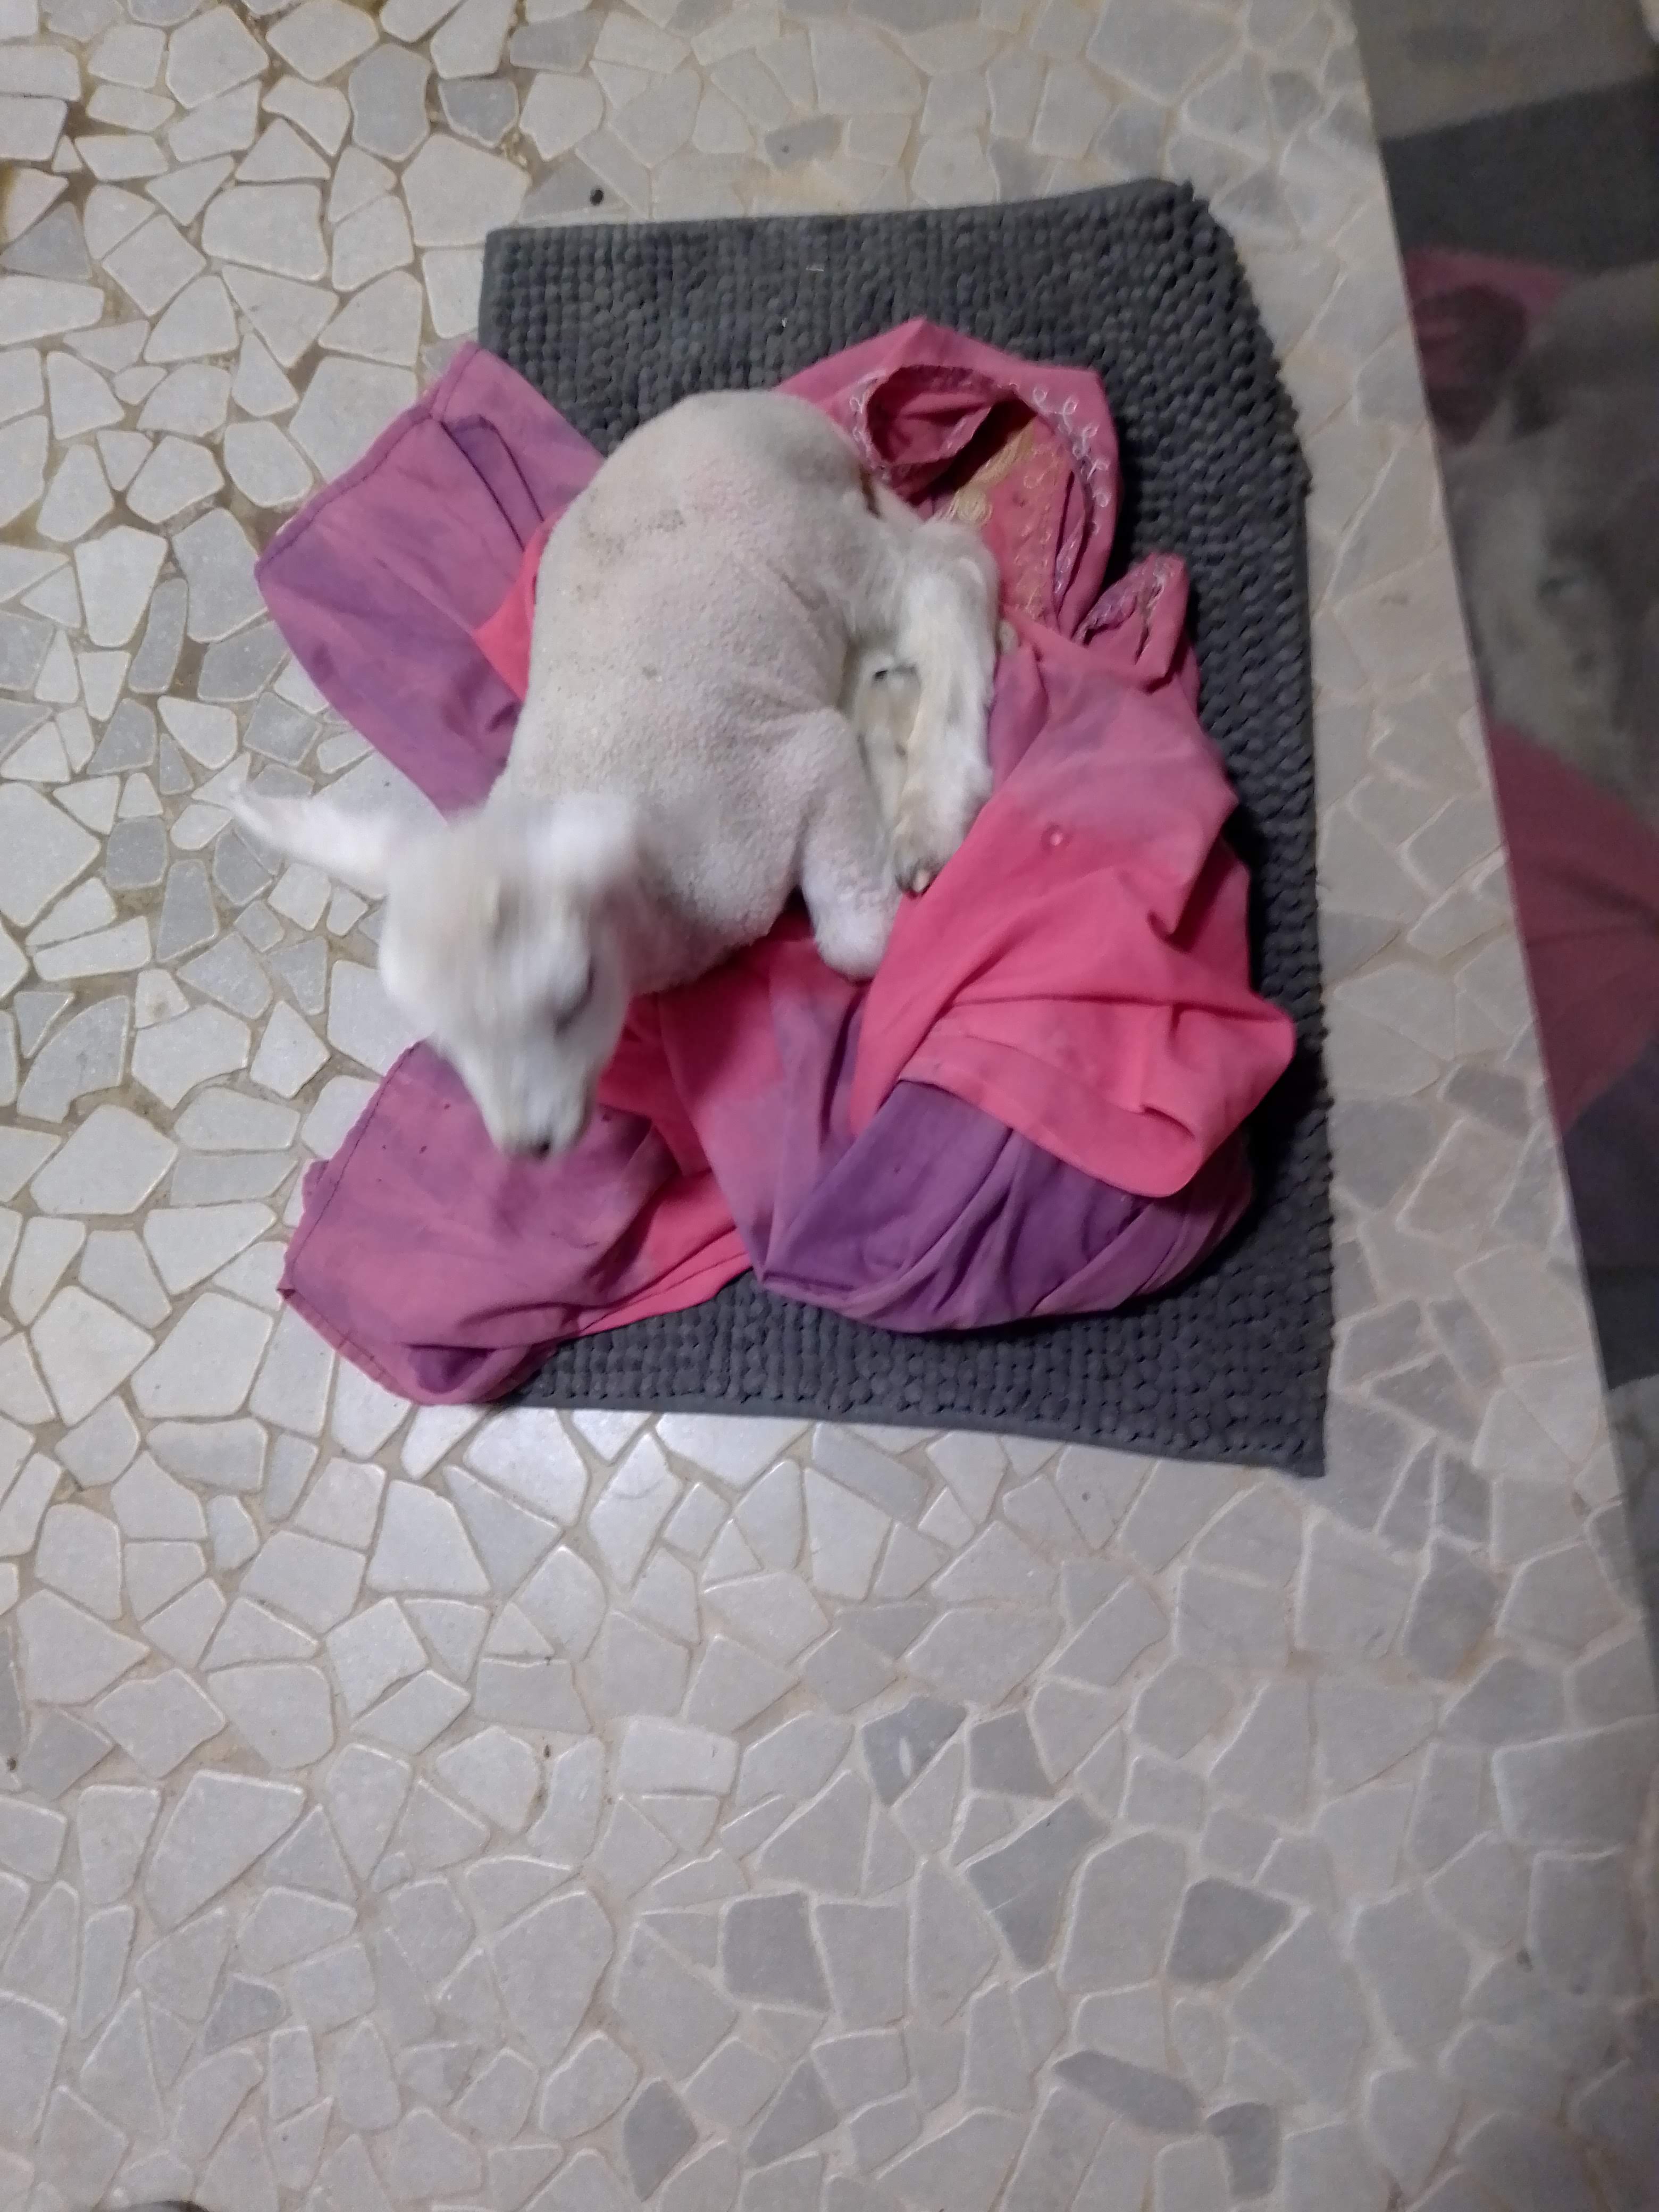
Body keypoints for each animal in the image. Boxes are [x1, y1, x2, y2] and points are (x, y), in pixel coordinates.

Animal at [237, 391, 998, 1156]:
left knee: (951, 575)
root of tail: (786, 412)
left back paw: (933, 803)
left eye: (574, 996)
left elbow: (859, 942)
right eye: (447, 1047)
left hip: (822, 545)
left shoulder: (789, 773)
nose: (529, 1148)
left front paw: (892, 905)